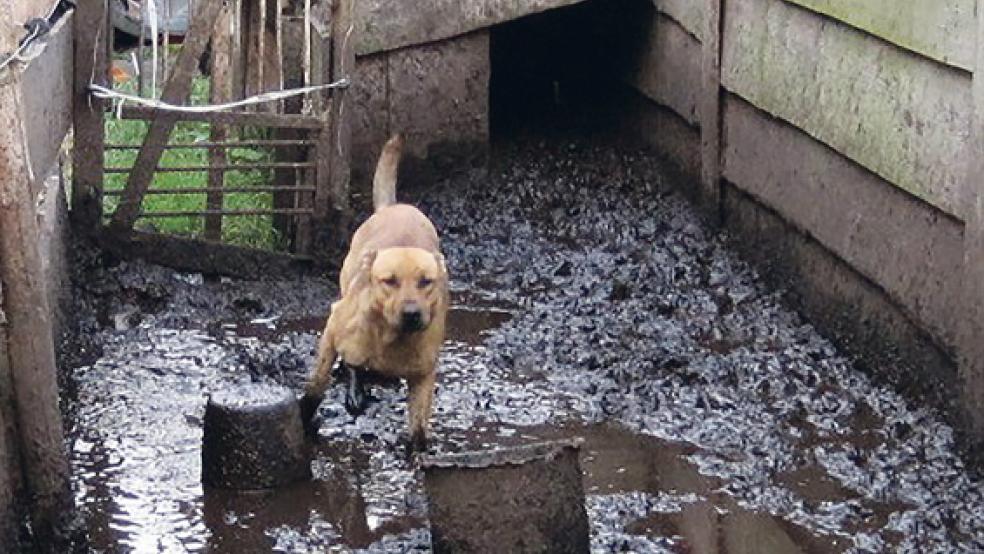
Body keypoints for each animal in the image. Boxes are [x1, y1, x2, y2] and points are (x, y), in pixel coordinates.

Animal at [300, 134, 450, 448]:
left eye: (426, 281)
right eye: (389, 280)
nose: (411, 313)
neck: (392, 337)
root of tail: (393, 207)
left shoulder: (423, 376)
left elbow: (418, 431)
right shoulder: (333, 329)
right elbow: (317, 382)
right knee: (352, 362)